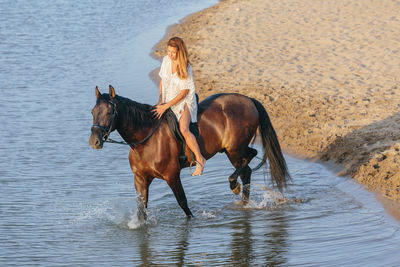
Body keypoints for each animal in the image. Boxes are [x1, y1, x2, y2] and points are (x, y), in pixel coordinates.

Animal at [89, 86, 290, 220]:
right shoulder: (140, 178)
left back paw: (234, 185)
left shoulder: (172, 175)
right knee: (246, 170)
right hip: (231, 152)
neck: (145, 139)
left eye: (110, 112)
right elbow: (141, 208)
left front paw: (192, 221)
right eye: (92, 111)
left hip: (234, 149)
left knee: (250, 157)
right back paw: (243, 202)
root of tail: (249, 100)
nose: (94, 141)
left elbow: (183, 203)